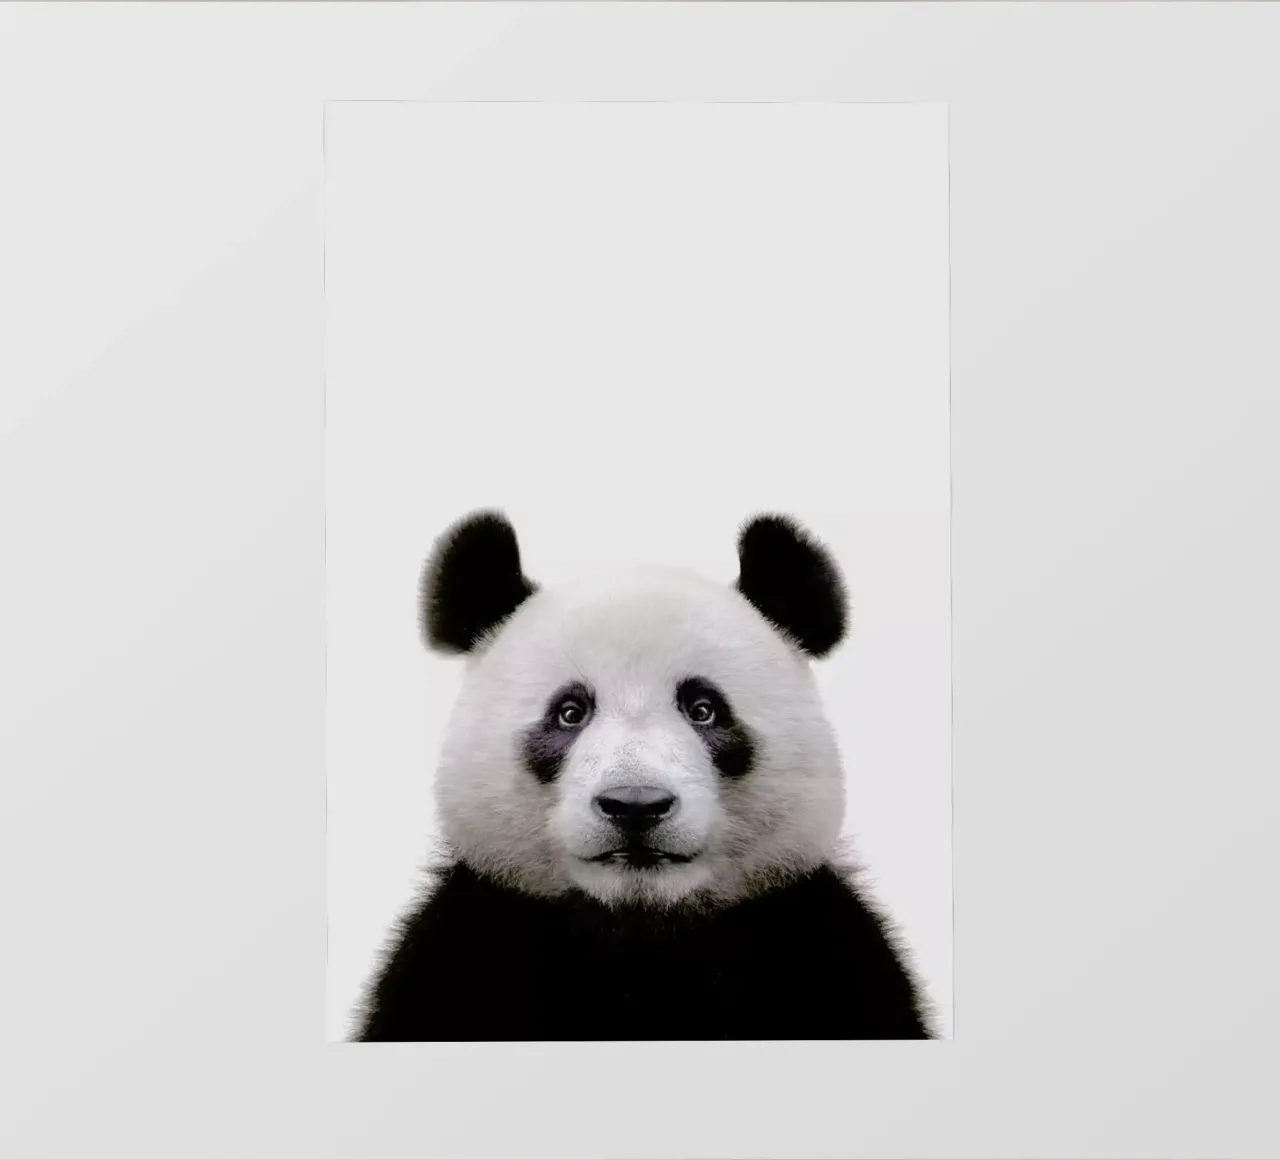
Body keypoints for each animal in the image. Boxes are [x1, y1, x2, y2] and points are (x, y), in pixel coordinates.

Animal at [355, 509, 933, 1041]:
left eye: (703, 709)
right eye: (570, 712)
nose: (635, 804)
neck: (640, 934)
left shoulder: (824, 949)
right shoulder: (463, 948)